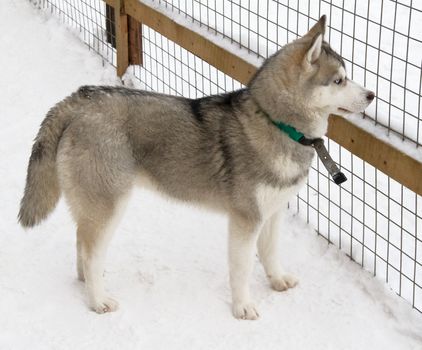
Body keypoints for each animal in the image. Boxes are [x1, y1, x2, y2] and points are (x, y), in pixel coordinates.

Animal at [18, 16, 374, 320]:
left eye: (347, 75)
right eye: (339, 80)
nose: (372, 95)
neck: (279, 124)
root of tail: (79, 99)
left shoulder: (271, 213)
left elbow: (270, 253)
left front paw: (278, 281)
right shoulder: (245, 219)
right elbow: (242, 269)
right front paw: (243, 307)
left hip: (93, 204)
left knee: (81, 242)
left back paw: (87, 283)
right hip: (110, 204)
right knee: (91, 250)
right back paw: (98, 300)